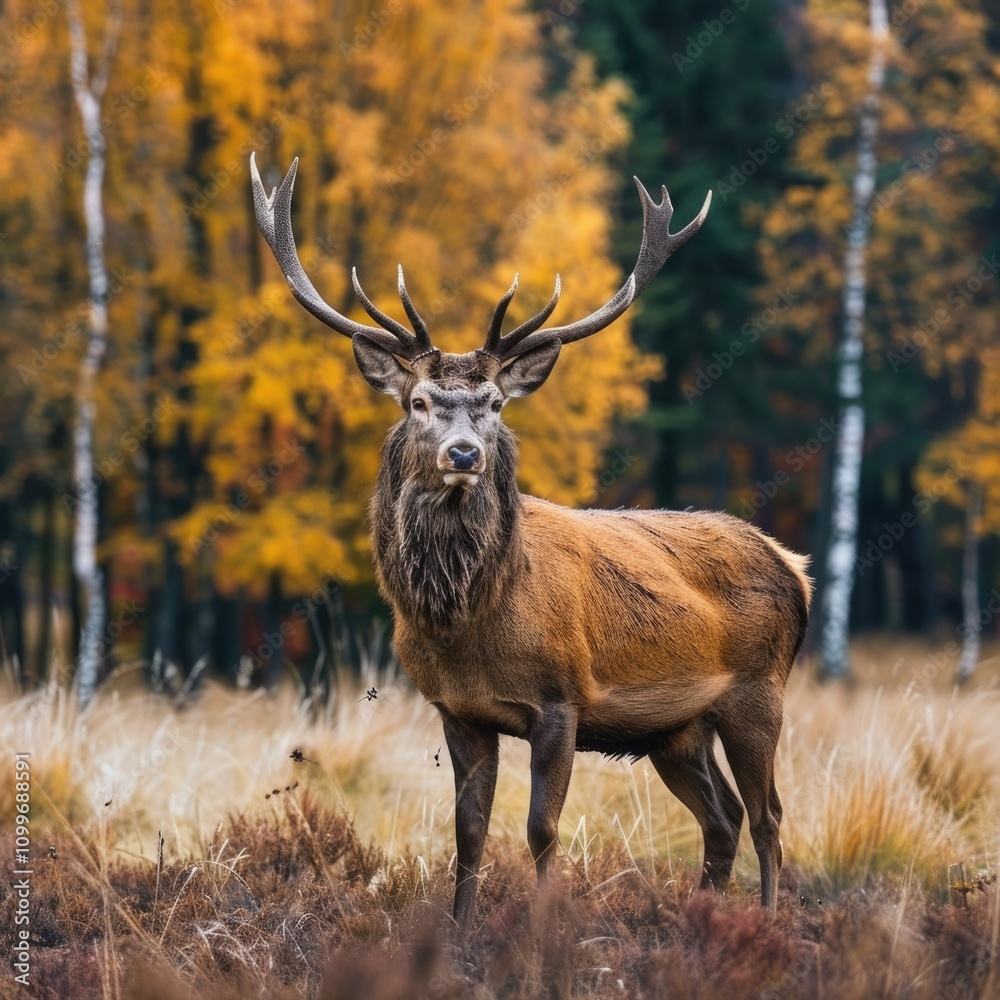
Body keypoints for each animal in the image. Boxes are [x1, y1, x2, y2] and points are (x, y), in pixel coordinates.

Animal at [250, 153, 812, 927]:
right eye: (419, 402)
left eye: (492, 404)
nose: (464, 453)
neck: (471, 621)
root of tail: (796, 567)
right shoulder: (457, 711)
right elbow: (468, 831)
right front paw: (459, 931)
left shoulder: (561, 701)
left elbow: (542, 829)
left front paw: (544, 929)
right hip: (677, 730)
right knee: (722, 819)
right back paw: (702, 922)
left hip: (760, 692)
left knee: (770, 819)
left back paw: (768, 924)